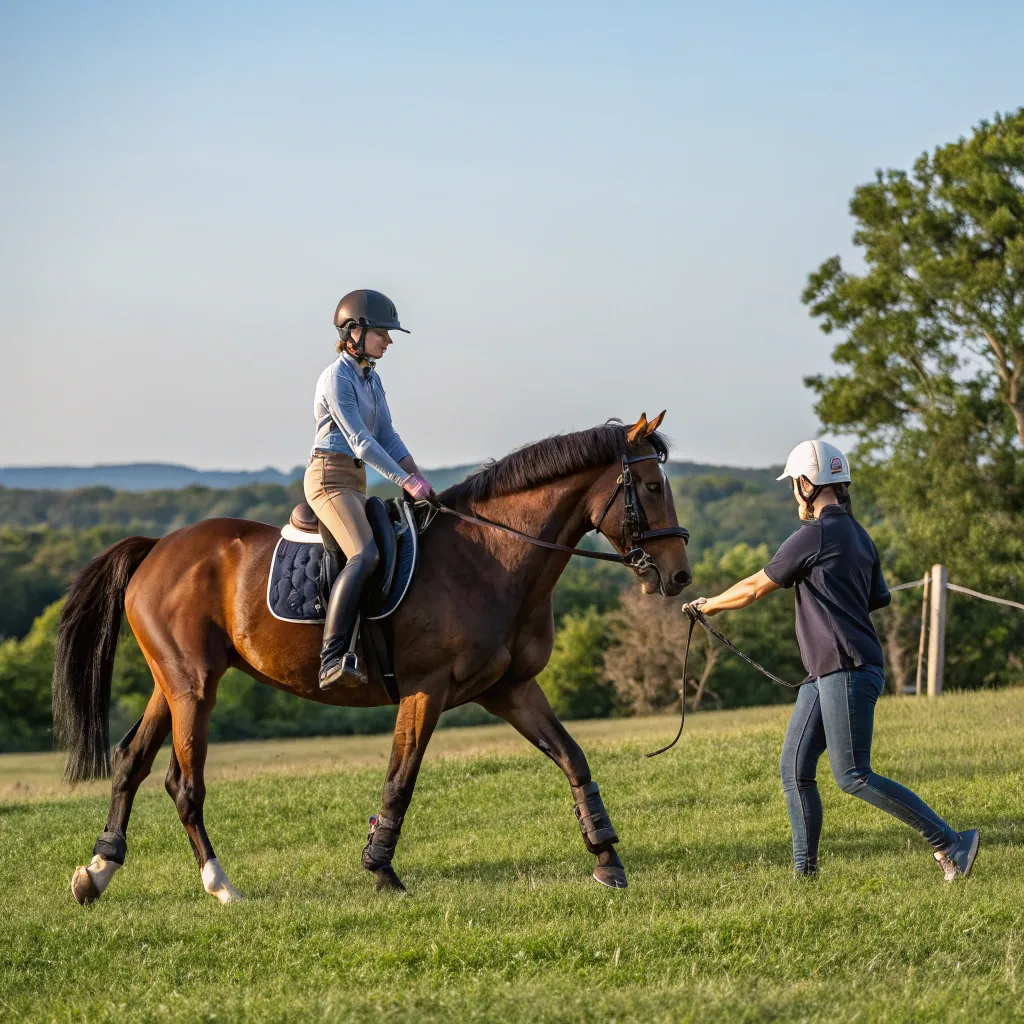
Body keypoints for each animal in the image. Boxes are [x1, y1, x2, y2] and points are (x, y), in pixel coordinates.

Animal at [51, 407, 692, 905]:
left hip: (174, 683)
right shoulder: (426, 688)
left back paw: (97, 872)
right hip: (194, 686)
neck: (492, 557)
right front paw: (381, 869)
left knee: (131, 762)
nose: (679, 576)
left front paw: (607, 859)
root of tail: (158, 547)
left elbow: (572, 758)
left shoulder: (510, 690)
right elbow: (400, 778)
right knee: (184, 783)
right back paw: (220, 884)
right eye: (651, 487)